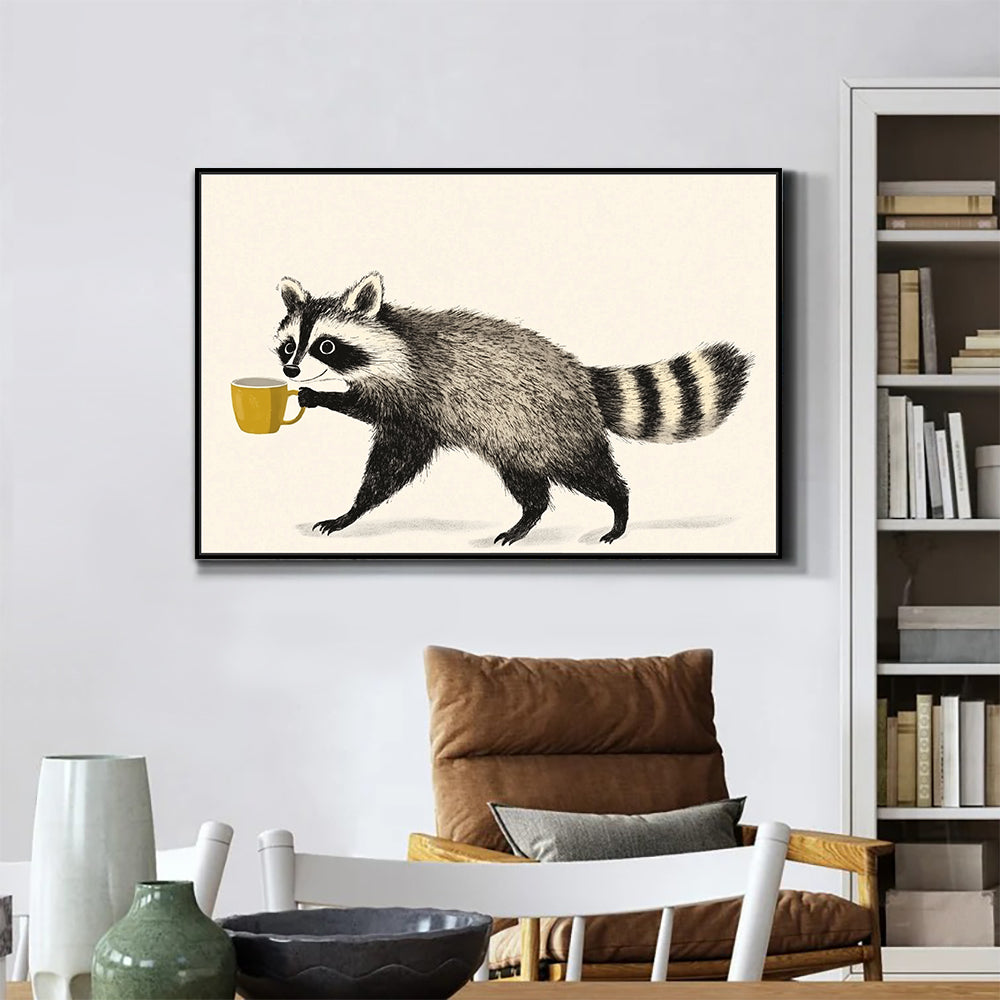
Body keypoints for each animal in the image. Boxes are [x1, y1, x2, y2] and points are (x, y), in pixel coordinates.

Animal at [273, 273, 752, 545]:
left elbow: (388, 455)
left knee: (589, 471)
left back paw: (619, 506)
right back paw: (528, 519)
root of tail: (579, 374)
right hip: (515, 438)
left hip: (549, 425)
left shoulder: (419, 394)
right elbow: (384, 450)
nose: (292, 370)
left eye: (327, 346)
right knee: (530, 487)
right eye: (290, 344)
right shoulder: (408, 410)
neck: (395, 335)